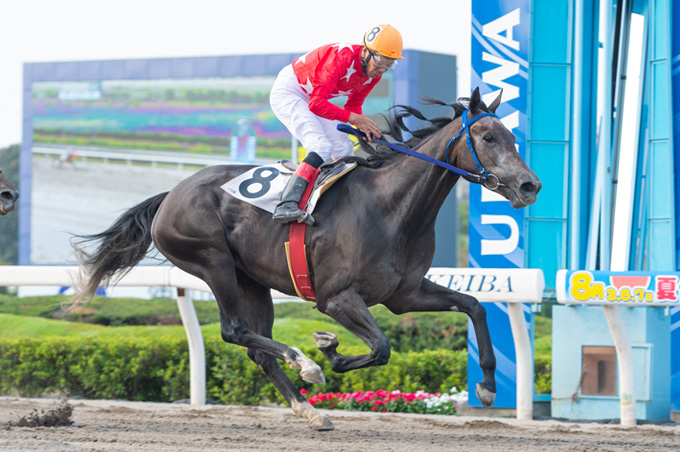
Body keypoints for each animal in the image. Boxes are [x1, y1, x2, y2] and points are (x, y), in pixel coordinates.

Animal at [73, 88, 541, 430]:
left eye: (513, 137)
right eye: (488, 138)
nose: (530, 185)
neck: (392, 208)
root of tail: (172, 193)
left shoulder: (403, 294)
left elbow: (474, 305)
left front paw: (486, 388)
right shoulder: (336, 298)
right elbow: (382, 347)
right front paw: (328, 351)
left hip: (251, 279)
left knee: (257, 350)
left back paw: (311, 410)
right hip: (212, 261)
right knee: (235, 331)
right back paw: (304, 363)